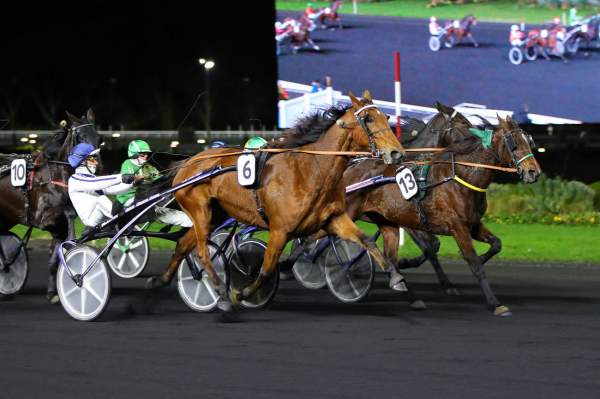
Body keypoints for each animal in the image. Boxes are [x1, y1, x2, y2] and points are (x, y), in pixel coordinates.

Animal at [0, 109, 102, 304]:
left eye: (99, 137)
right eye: (80, 136)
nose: (97, 165)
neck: (54, 177)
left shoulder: (58, 230)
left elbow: (54, 261)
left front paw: (52, 293)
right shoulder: (44, 219)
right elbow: (67, 214)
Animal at [340, 115, 540, 316]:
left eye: (529, 141)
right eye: (514, 143)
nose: (534, 172)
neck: (460, 177)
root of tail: (350, 168)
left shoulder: (473, 224)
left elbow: (496, 244)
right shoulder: (455, 226)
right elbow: (472, 262)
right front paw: (495, 304)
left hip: (386, 221)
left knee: (391, 259)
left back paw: (410, 295)